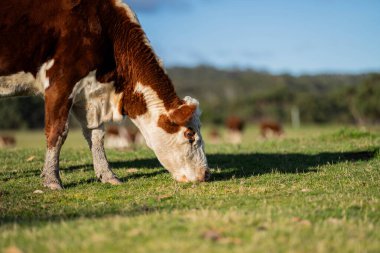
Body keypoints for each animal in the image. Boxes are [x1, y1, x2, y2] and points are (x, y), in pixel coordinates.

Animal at [0, 0, 209, 190]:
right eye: (190, 134)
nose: (206, 174)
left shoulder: (88, 93)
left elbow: (96, 135)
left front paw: (107, 175)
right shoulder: (60, 82)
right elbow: (57, 131)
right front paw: (52, 180)